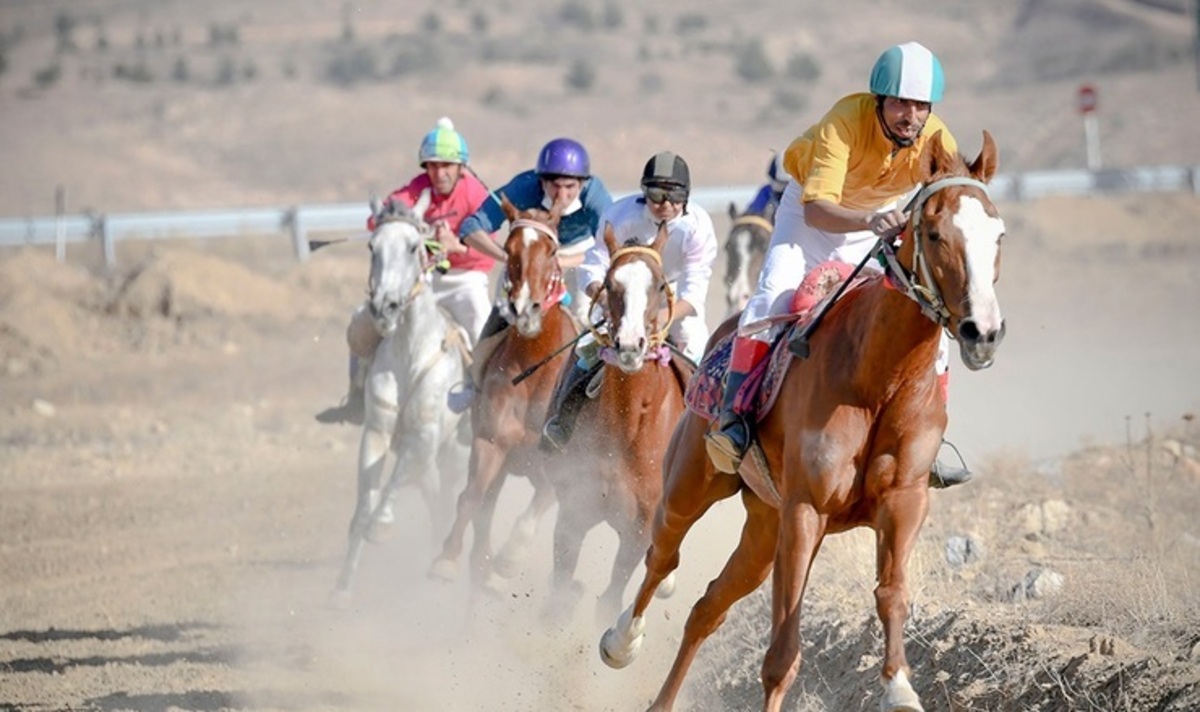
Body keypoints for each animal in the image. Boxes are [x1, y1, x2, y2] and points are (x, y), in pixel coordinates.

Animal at [336, 194, 475, 605]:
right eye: (372, 247)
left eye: (414, 246)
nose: (385, 307)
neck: (411, 351)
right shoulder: (377, 432)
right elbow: (363, 506)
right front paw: (341, 588)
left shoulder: (424, 437)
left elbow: (393, 484)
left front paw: (382, 525)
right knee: (436, 504)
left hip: (454, 456)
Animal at [432, 194, 580, 588]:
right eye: (509, 248)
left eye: (552, 248)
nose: (525, 309)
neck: (534, 372)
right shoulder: (490, 442)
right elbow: (471, 498)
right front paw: (447, 558)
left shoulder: (558, 465)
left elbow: (541, 501)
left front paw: (511, 557)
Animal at [547, 220, 696, 624]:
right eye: (610, 284)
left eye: (659, 285)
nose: (630, 345)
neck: (626, 430)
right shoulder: (574, 509)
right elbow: (559, 597)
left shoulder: (638, 530)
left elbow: (610, 600)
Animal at [604, 132, 1008, 710]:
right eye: (934, 233)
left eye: (997, 234)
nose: (983, 331)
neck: (880, 375)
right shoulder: (805, 509)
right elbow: (781, 656)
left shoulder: (904, 501)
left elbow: (892, 592)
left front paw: (900, 687)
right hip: (691, 485)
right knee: (662, 553)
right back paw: (621, 641)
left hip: (763, 525)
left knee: (708, 607)